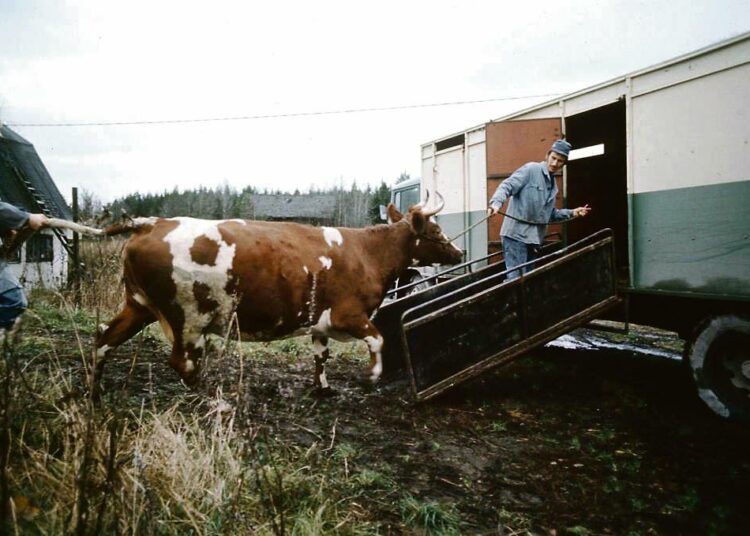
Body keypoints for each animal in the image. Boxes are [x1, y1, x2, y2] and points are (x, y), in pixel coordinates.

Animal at [92, 194, 464, 394]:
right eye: (435, 231)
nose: (459, 253)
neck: (367, 253)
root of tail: (152, 222)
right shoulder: (348, 314)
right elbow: (378, 340)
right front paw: (371, 376)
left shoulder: (319, 320)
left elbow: (321, 355)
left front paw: (323, 389)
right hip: (190, 317)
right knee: (181, 361)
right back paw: (207, 395)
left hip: (138, 305)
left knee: (104, 338)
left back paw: (95, 390)